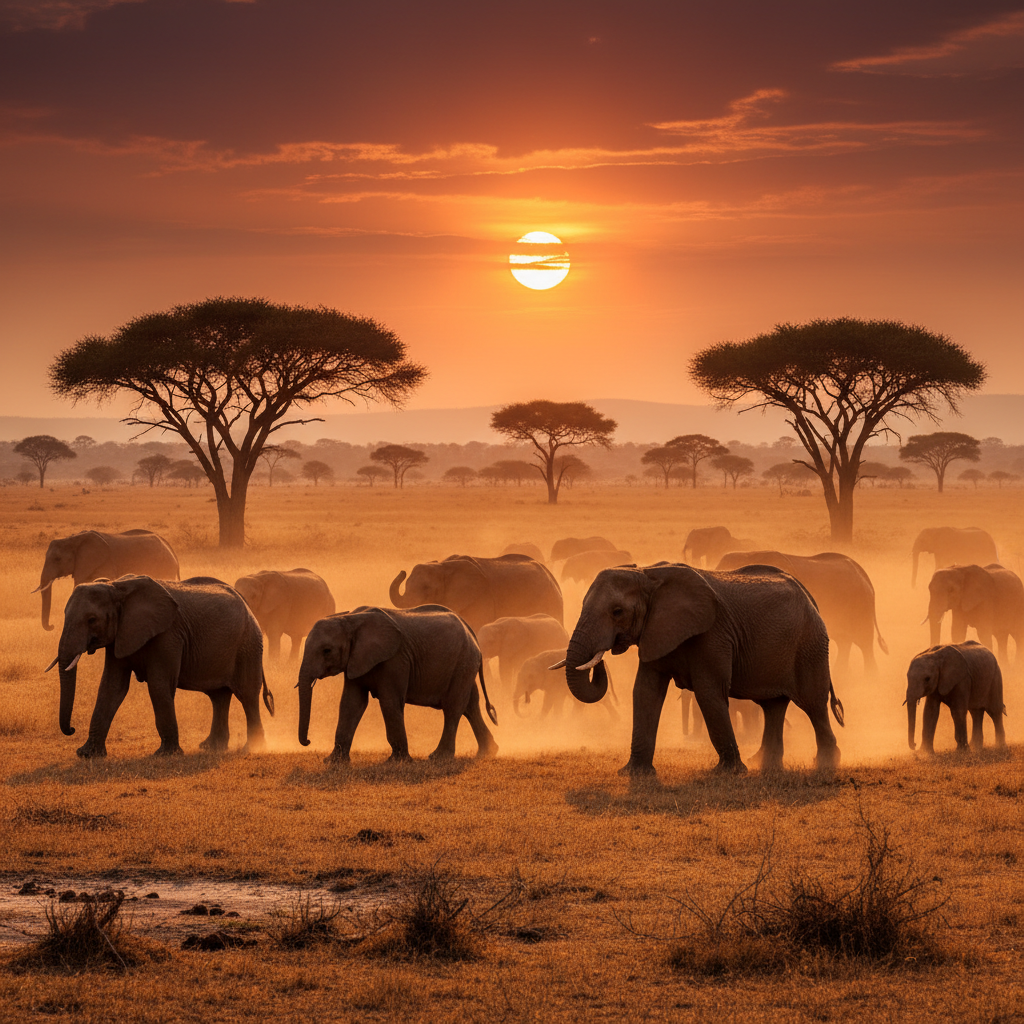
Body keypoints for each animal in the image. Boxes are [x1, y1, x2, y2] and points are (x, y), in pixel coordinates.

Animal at [35, 529, 180, 631]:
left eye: (57, 559)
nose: (52, 626)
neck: (73, 539)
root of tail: (170, 548)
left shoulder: (104, 565)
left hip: (164, 567)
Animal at [46, 575, 273, 758]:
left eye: (92, 620)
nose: (72, 729)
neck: (116, 586)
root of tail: (248, 606)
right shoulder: (120, 635)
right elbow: (111, 687)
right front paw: (87, 755)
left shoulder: (168, 636)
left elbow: (158, 685)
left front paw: (166, 755)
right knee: (219, 697)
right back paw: (211, 747)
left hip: (249, 645)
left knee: (247, 696)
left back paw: (252, 749)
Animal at [296, 605, 498, 763]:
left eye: (327, 651)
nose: (308, 741)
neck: (350, 619)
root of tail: (471, 632)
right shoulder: (356, 660)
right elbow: (351, 704)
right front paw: (333, 761)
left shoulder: (395, 660)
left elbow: (389, 702)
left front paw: (397, 761)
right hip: (465, 664)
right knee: (470, 706)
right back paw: (487, 753)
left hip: (463, 662)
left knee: (453, 707)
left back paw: (438, 757)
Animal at [389, 554, 563, 632]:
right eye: (407, 583)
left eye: (427, 589)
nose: (402, 571)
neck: (444, 566)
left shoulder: (480, 600)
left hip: (550, 601)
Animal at [562, 563, 844, 775]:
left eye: (617, 611)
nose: (600, 658)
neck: (648, 574)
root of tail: (810, 597)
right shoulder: (656, 631)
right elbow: (645, 692)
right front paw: (634, 773)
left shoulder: (713, 635)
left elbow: (708, 693)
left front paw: (728, 773)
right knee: (773, 706)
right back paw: (764, 764)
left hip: (810, 646)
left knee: (813, 705)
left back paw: (826, 764)